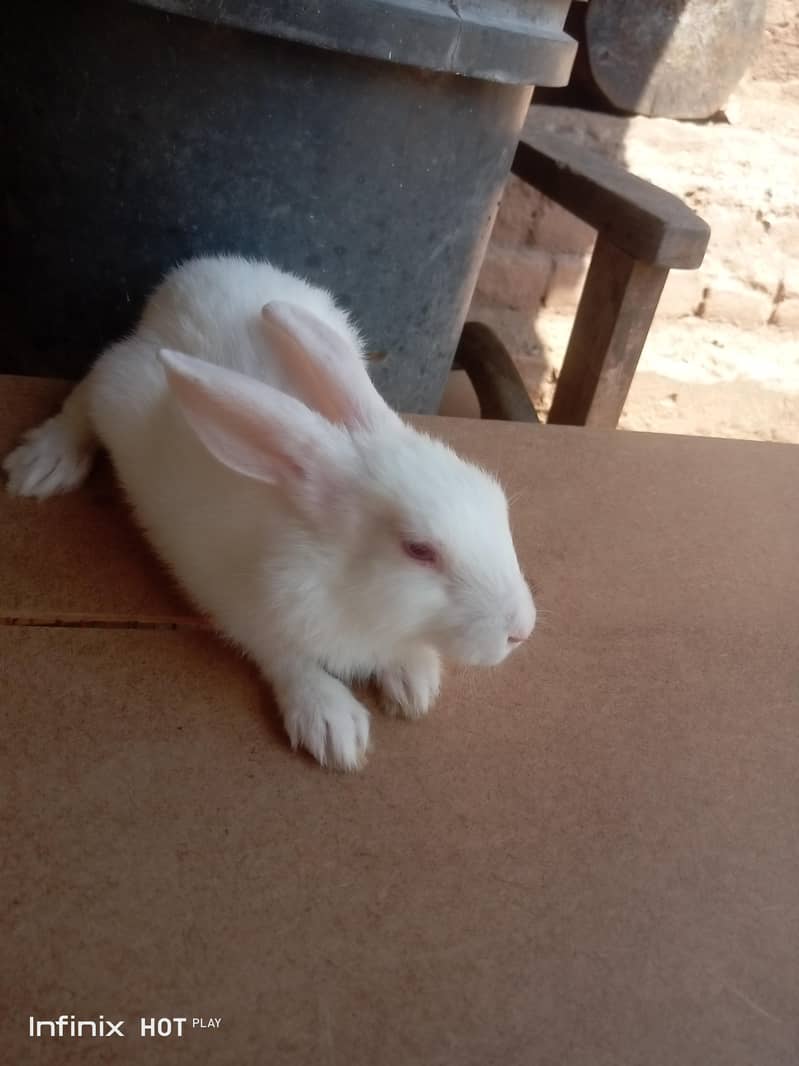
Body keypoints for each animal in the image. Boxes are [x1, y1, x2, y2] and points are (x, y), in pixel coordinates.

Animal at [3, 255, 536, 770]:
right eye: (419, 550)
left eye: (496, 500)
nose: (521, 631)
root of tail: (187, 278)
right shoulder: (242, 607)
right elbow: (285, 656)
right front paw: (334, 727)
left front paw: (414, 682)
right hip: (117, 387)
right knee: (86, 389)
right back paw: (44, 464)